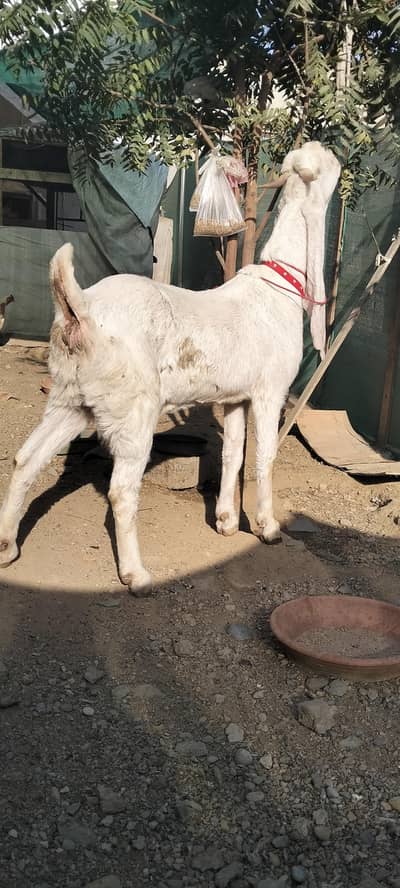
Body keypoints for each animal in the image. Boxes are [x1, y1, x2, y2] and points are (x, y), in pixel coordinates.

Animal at [0, 142, 340, 595]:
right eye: (327, 164)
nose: (338, 159)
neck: (278, 285)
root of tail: (80, 309)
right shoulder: (270, 391)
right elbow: (264, 456)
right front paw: (267, 528)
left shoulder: (234, 397)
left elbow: (232, 452)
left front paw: (226, 522)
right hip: (134, 405)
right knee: (121, 490)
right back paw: (136, 574)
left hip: (72, 399)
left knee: (26, 459)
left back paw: (7, 546)